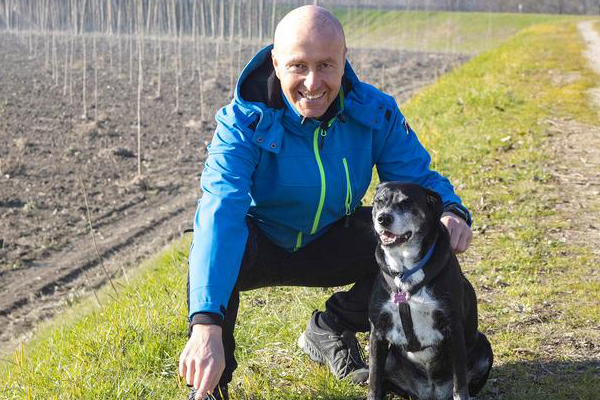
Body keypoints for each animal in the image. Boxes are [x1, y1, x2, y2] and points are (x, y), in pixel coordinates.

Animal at [366, 183, 492, 400]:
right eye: (379, 201)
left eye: (406, 202)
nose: (383, 218)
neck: (405, 273)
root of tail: (430, 391)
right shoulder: (378, 333)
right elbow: (374, 381)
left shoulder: (453, 330)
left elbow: (460, 385)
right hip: (390, 358)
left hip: (483, 346)